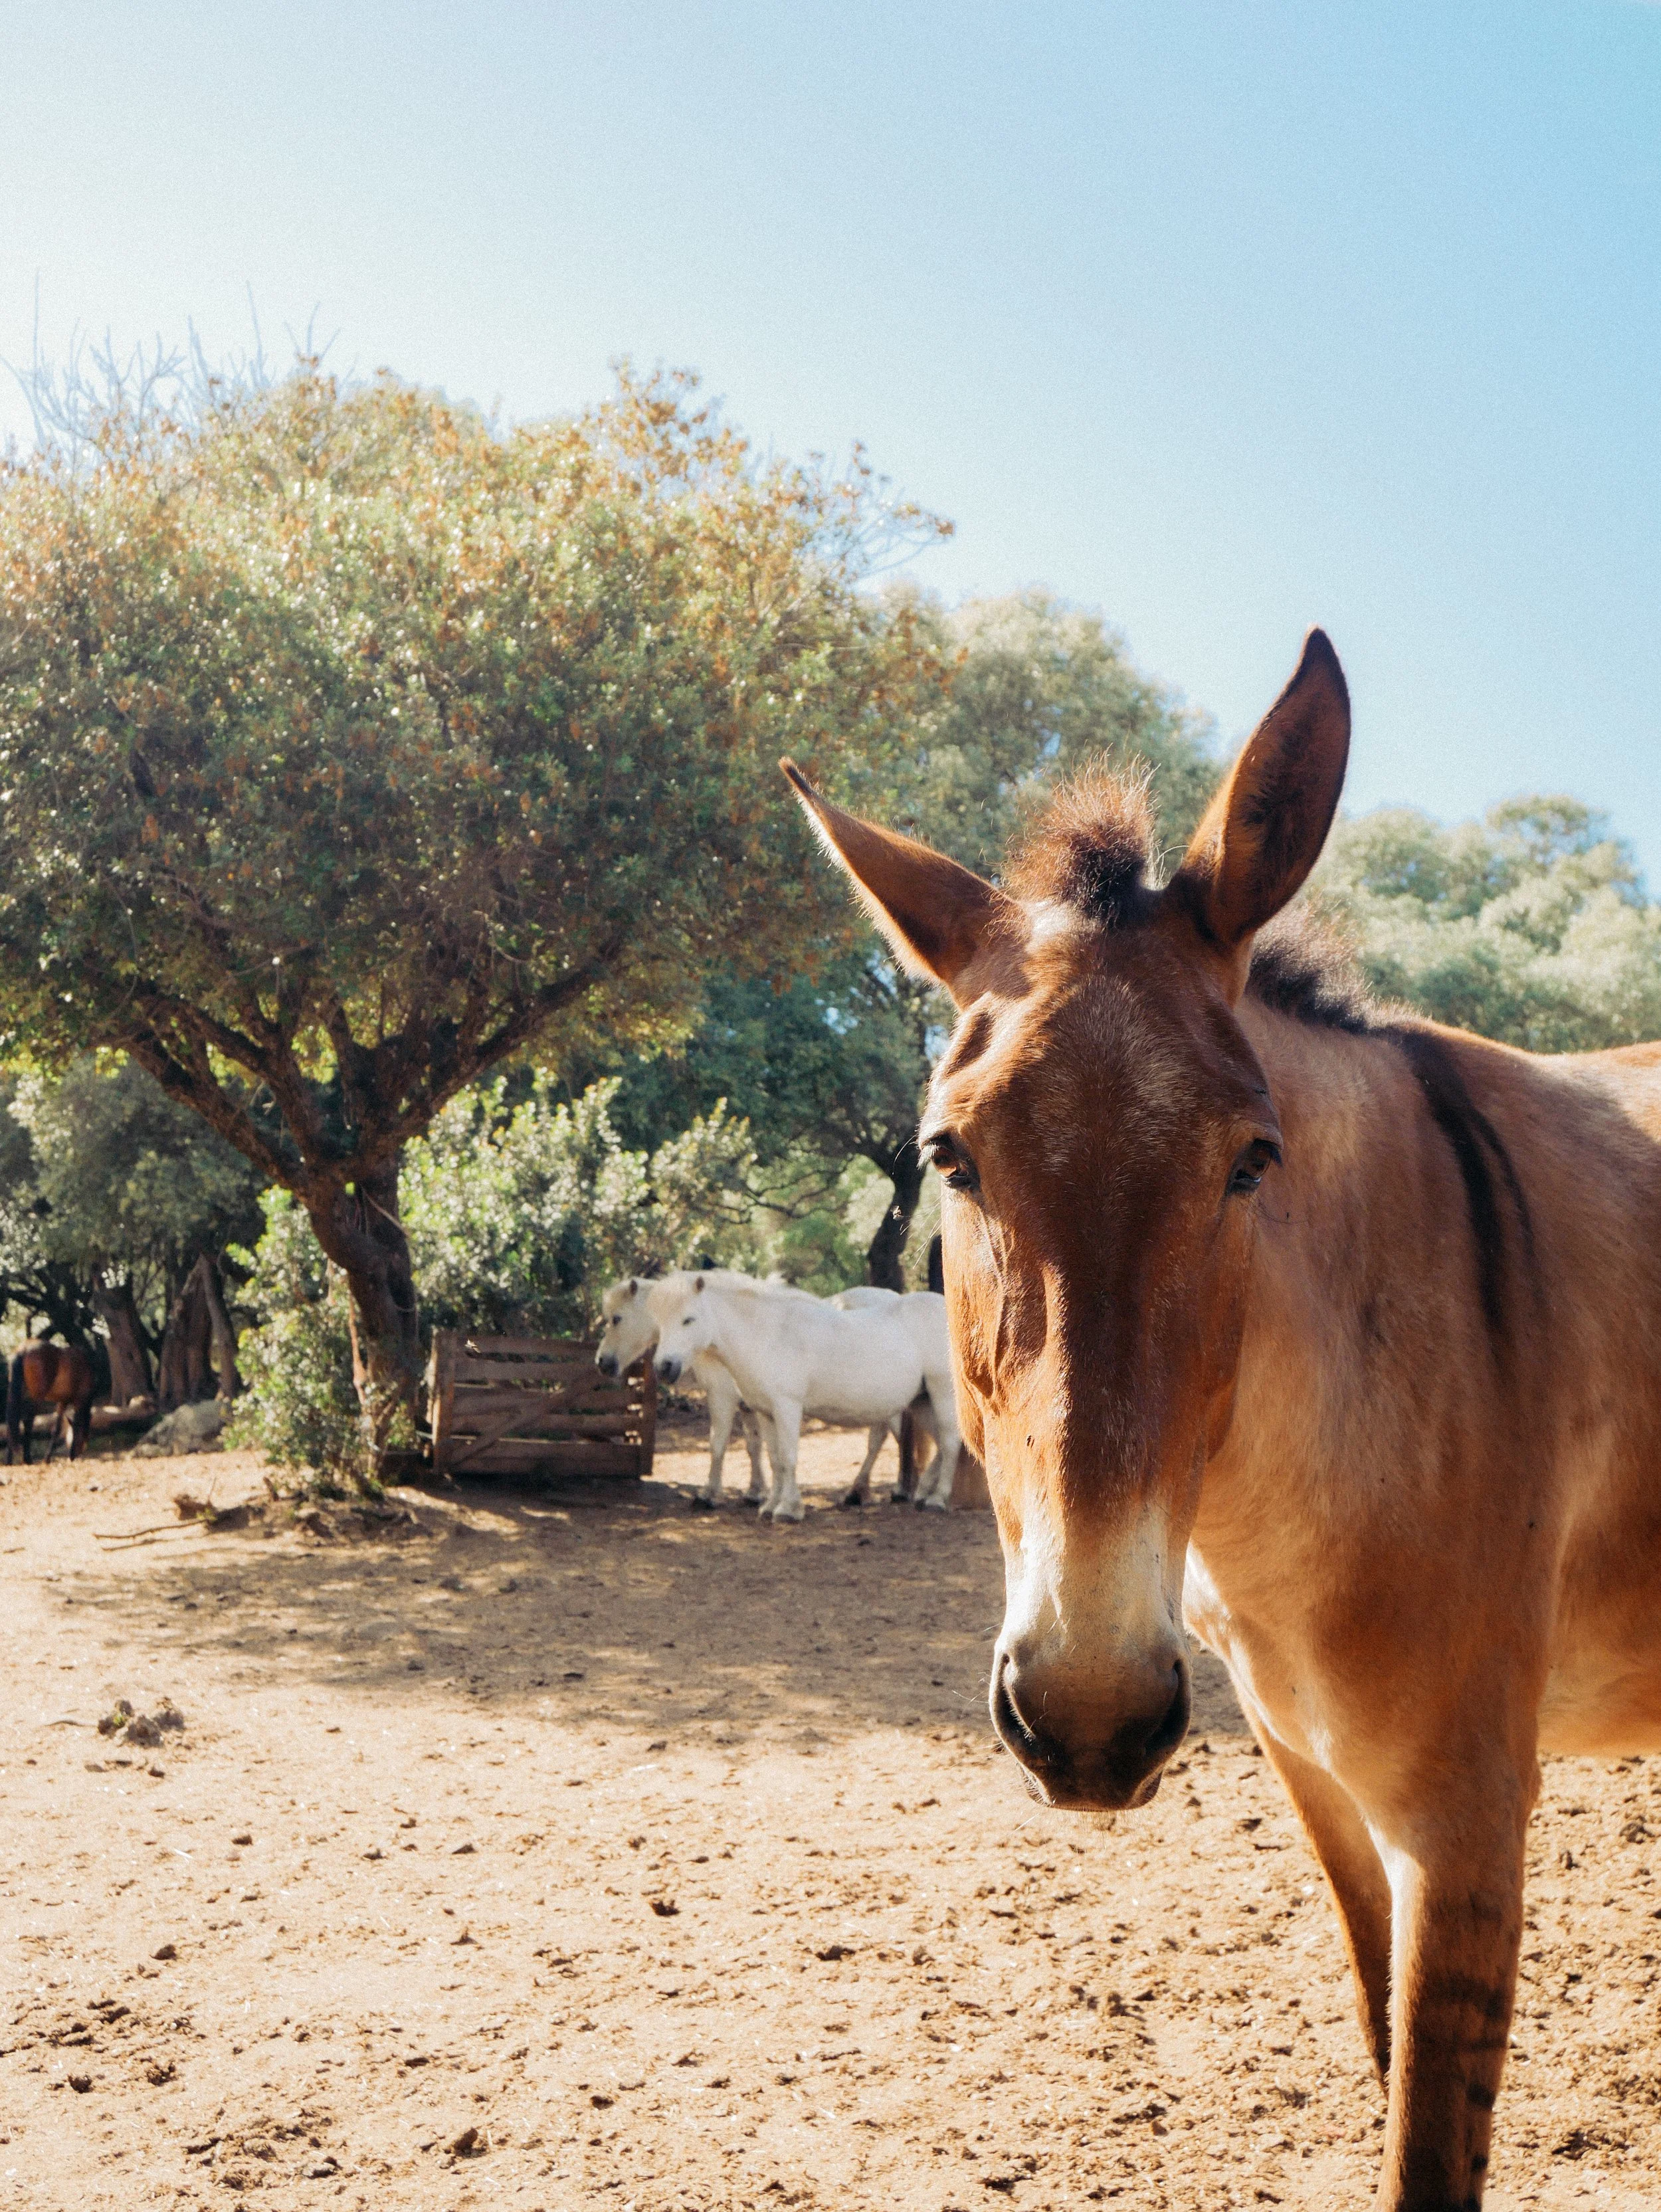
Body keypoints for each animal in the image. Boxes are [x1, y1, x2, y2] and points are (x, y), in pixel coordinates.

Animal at [5, 1339, 97, 1465]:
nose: (73, 1456)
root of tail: (23, 1350)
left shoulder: (63, 1402)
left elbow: (56, 1429)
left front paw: (47, 1458)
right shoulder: (79, 1401)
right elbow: (76, 1425)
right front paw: (48, 1458)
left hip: (19, 1393)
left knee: (14, 1420)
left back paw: (9, 1460)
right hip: (36, 1397)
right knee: (28, 1421)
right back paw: (27, 1459)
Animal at [596, 1275, 935, 1509]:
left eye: (616, 1319)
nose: (602, 1362)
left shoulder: (722, 1398)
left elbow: (718, 1444)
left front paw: (709, 1494)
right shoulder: (751, 1404)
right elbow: (756, 1448)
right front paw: (756, 1493)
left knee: (891, 1439)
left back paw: (893, 1490)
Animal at [783, 630, 1661, 2210]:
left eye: (1253, 1158)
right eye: (950, 1154)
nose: (1086, 1716)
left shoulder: (1466, 1823)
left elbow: (1429, 2149)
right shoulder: (1325, 1793)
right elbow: (1381, 2055)